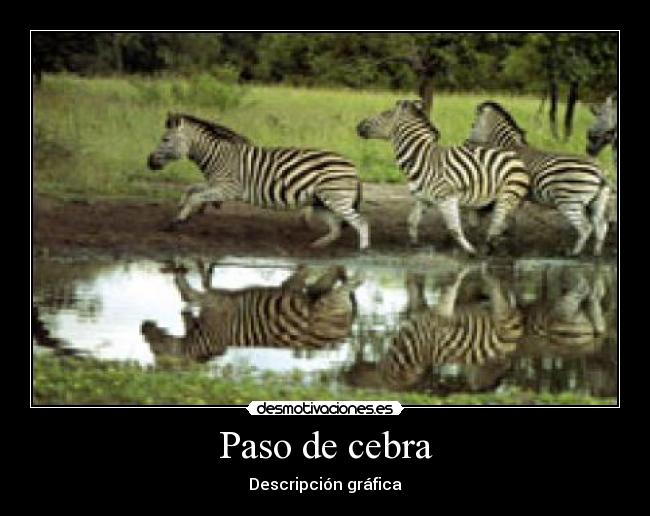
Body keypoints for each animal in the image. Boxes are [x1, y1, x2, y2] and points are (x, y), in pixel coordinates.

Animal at [141, 262, 360, 361]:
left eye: (154, 350)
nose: (143, 327)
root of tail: (347, 331)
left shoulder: (216, 302)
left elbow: (187, 293)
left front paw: (175, 266)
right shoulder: (212, 303)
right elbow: (187, 299)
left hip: (326, 307)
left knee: (344, 284)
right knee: (331, 281)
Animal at [147, 113, 369, 250]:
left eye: (165, 139)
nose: (149, 162)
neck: (217, 156)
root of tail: (353, 166)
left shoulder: (229, 188)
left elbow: (196, 197)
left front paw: (178, 221)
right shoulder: (215, 184)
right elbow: (191, 189)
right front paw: (182, 207)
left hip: (335, 198)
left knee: (361, 223)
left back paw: (361, 253)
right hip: (320, 203)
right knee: (336, 229)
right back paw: (317, 246)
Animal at [357, 100, 529, 255]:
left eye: (385, 114)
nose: (358, 126)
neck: (422, 158)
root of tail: (515, 157)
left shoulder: (447, 198)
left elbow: (454, 228)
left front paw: (470, 251)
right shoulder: (423, 199)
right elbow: (412, 221)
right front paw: (414, 244)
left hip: (507, 196)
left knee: (497, 222)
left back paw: (489, 248)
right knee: (505, 223)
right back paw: (500, 245)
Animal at [467, 101, 611, 256]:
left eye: (472, 125)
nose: (466, 142)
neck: (510, 147)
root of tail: (600, 172)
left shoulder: (510, 187)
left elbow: (502, 214)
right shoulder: (519, 194)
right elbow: (513, 216)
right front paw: (509, 235)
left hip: (569, 201)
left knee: (585, 228)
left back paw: (574, 253)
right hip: (596, 202)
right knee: (601, 227)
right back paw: (596, 253)